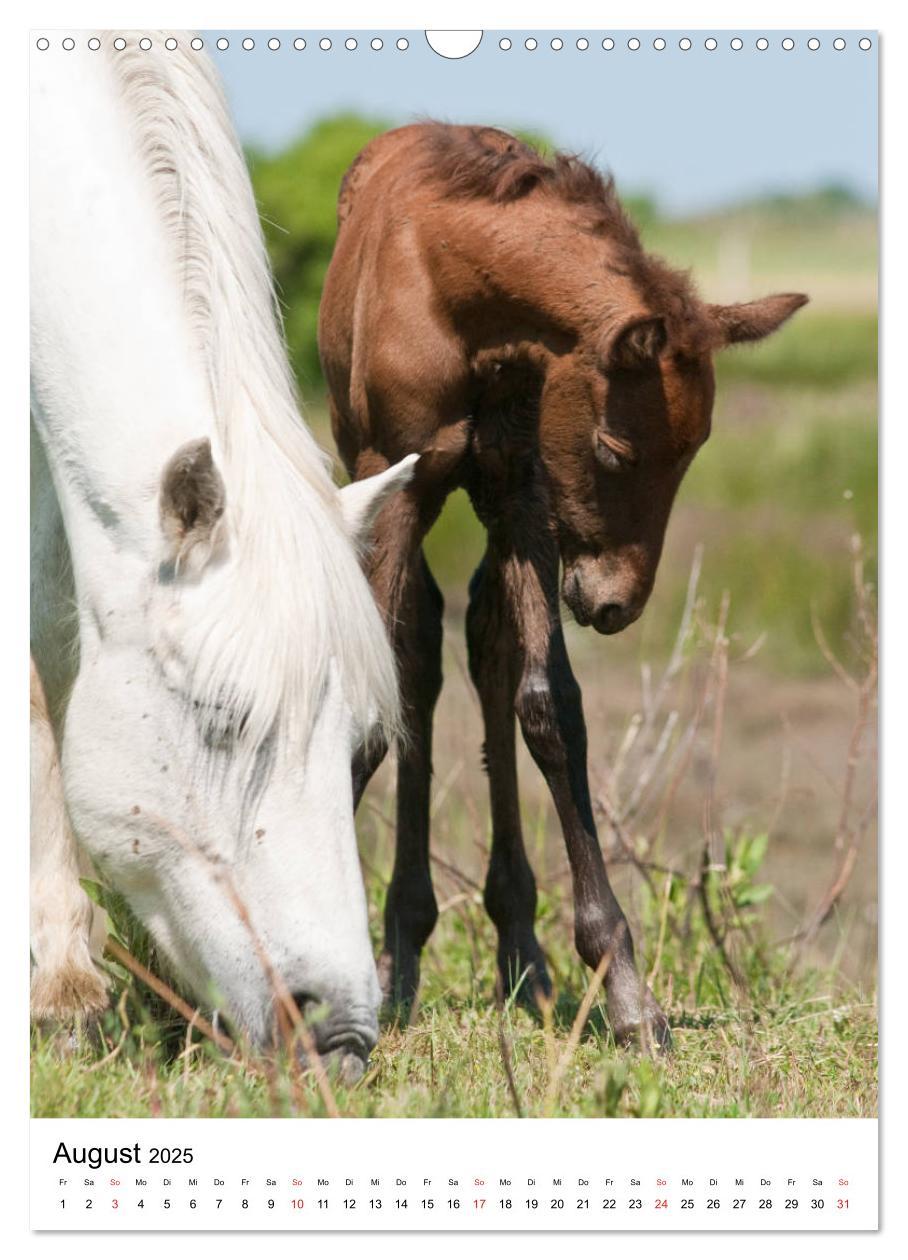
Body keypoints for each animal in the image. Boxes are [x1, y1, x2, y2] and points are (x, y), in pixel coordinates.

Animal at [318, 120, 805, 1043]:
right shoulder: (393, 479)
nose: (614, 603)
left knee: (483, 646)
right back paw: (403, 953)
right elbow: (368, 709)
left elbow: (550, 706)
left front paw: (626, 990)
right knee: (418, 655)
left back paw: (519, 957)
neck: (460, 301)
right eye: (616, 449)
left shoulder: (523, 484)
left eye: (695, 451)